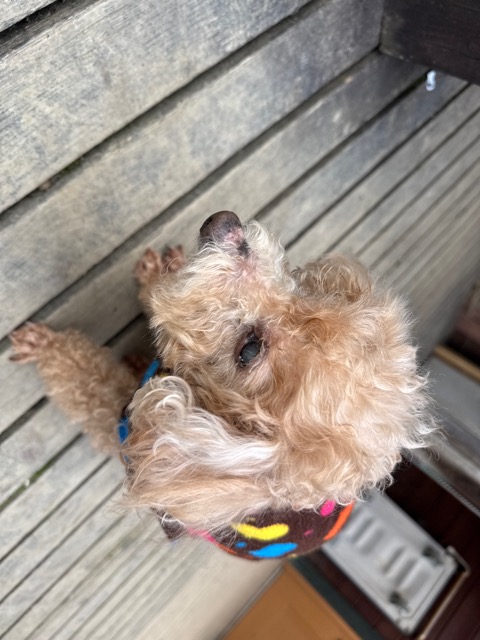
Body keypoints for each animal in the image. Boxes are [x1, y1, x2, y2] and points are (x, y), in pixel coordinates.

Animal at [10, 212, 432, 559]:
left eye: (249, 349)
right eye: (307, 290)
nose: (224, 222)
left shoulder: (126, 427)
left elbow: (86, 380)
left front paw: (44, 346)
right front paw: (158, 270)